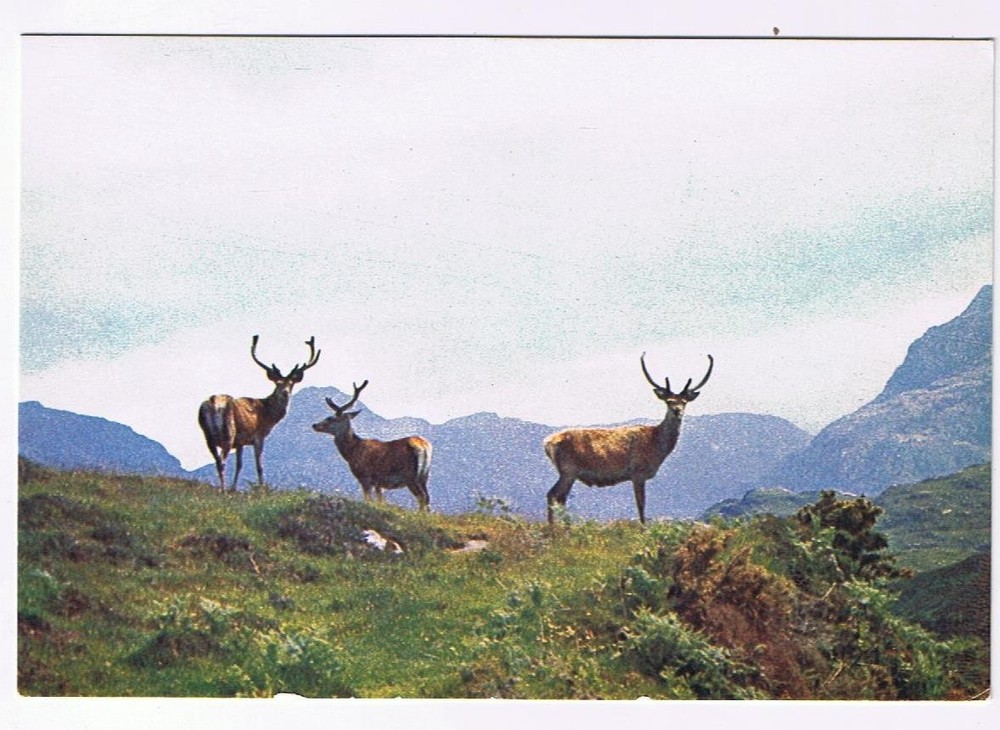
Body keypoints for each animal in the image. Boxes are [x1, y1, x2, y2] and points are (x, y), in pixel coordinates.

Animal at [198, 335, 321, 492]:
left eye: (291, 383)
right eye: (277, 383)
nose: (285, 393)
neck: (269, 415)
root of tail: (213, 402)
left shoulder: (240, 442)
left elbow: (239, 465)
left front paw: (234, 488)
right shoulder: (259, 436)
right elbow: (259, 466)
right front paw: (262, 489)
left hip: (208, 436)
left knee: (218, 460)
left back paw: (225, 489)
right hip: (228, 433)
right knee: (222, 462)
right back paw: (223, 491)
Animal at [311, 379, 432, 511]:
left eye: (331, 418)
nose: (315, 425)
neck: (352, 452)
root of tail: (423, 446)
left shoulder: (364, 476)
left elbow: (368, 500)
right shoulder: (378, 482)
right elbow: (380, 500)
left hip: (410, 475)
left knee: (421, 497)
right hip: (424, 476)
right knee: (427, 497)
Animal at [543, 353, 713, 525]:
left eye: (684, 402)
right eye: (668, 401)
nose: (677, 410)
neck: (657, 445)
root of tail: (547, 443)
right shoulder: (638, 472)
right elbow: (641, 504)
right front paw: (643, 527)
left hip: (568, 472)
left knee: (560, 498)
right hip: (568, 469)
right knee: (553, 495)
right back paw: (555, 529)